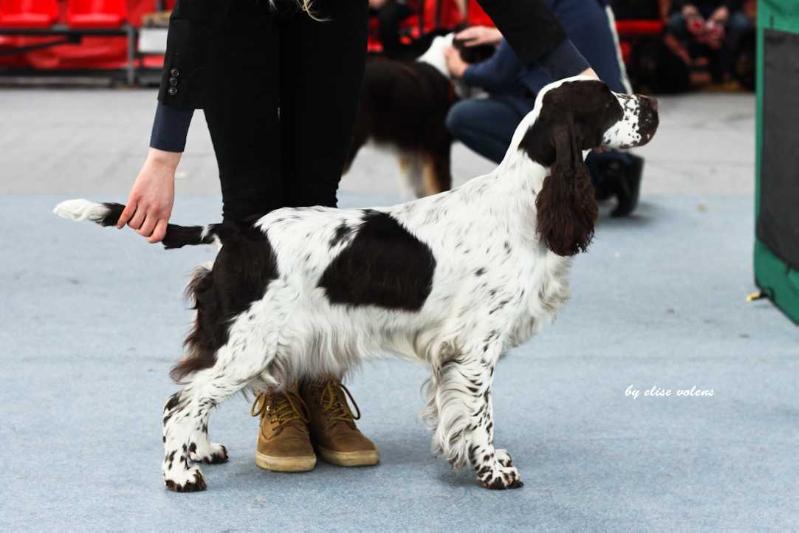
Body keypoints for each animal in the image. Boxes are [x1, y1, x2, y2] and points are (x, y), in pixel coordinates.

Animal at [54, 75, 656, 490]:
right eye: (607, 101)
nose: (651, 106)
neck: (524, 202)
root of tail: (238, 232)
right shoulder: (475, 348)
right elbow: (479, 416)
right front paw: (493, 471)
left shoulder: (455, 353)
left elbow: (457, 417)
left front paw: (477, 459)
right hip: (249, 343)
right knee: (181, 401)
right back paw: (181, 475)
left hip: (234, 341)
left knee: (192, 394)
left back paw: (203, 451)